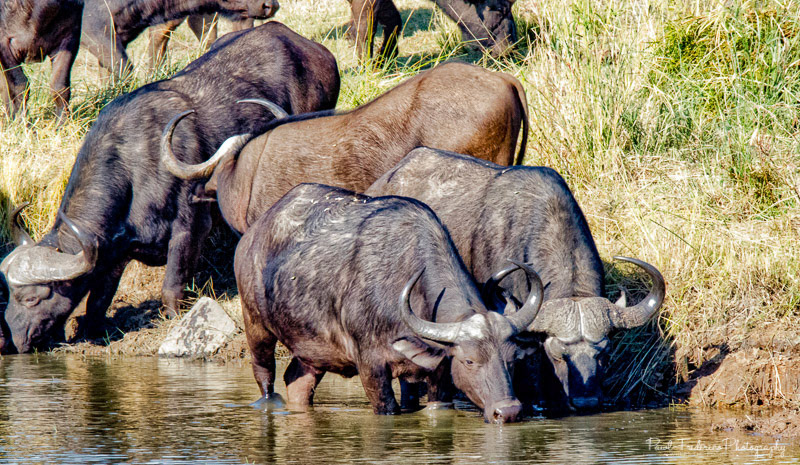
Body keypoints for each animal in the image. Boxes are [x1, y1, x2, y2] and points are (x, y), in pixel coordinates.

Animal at [0, 22, 340, 354]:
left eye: (32, 298)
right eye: (11, 294)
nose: (13, 341)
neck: (134, 167)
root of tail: (314, 50)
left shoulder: (190, 227)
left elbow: (172, 286)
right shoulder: (114, 252)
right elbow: (97, 300)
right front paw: (90, 330)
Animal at [235, 183, 544, 423]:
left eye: (512, 360)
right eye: (469, 360)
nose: (509, 412)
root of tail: (251, 236)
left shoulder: (437, 374)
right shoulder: (371, 367)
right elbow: (386, 408)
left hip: (312, 350)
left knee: (297, 380)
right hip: (256, 326)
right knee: (266, 376)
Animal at [348, 0, 517, 59]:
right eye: (499, 9)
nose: (508, 47)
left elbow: (394, 20)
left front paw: (384, 59)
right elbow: (366, 27)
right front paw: (367, 65)